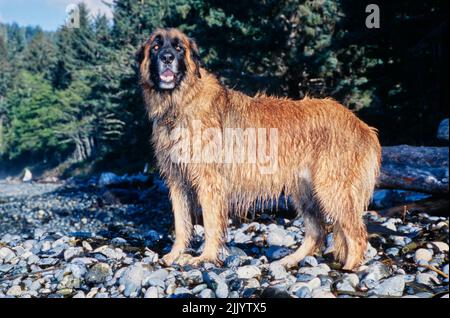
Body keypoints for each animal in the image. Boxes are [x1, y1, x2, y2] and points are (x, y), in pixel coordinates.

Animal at [136, 28, 380, 270]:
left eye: (179, 48)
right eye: (156, 47)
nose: (167, 58)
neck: (179, 101)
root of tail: (362, 125)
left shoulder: (209, 183)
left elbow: (211, 224)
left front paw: (205, 257)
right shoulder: (177, 182)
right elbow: (181, 224)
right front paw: (174, 254)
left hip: (331, 188)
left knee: (357, 233)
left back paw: (349, 269)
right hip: (305, 191)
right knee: (317, 231)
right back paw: (289, 260)